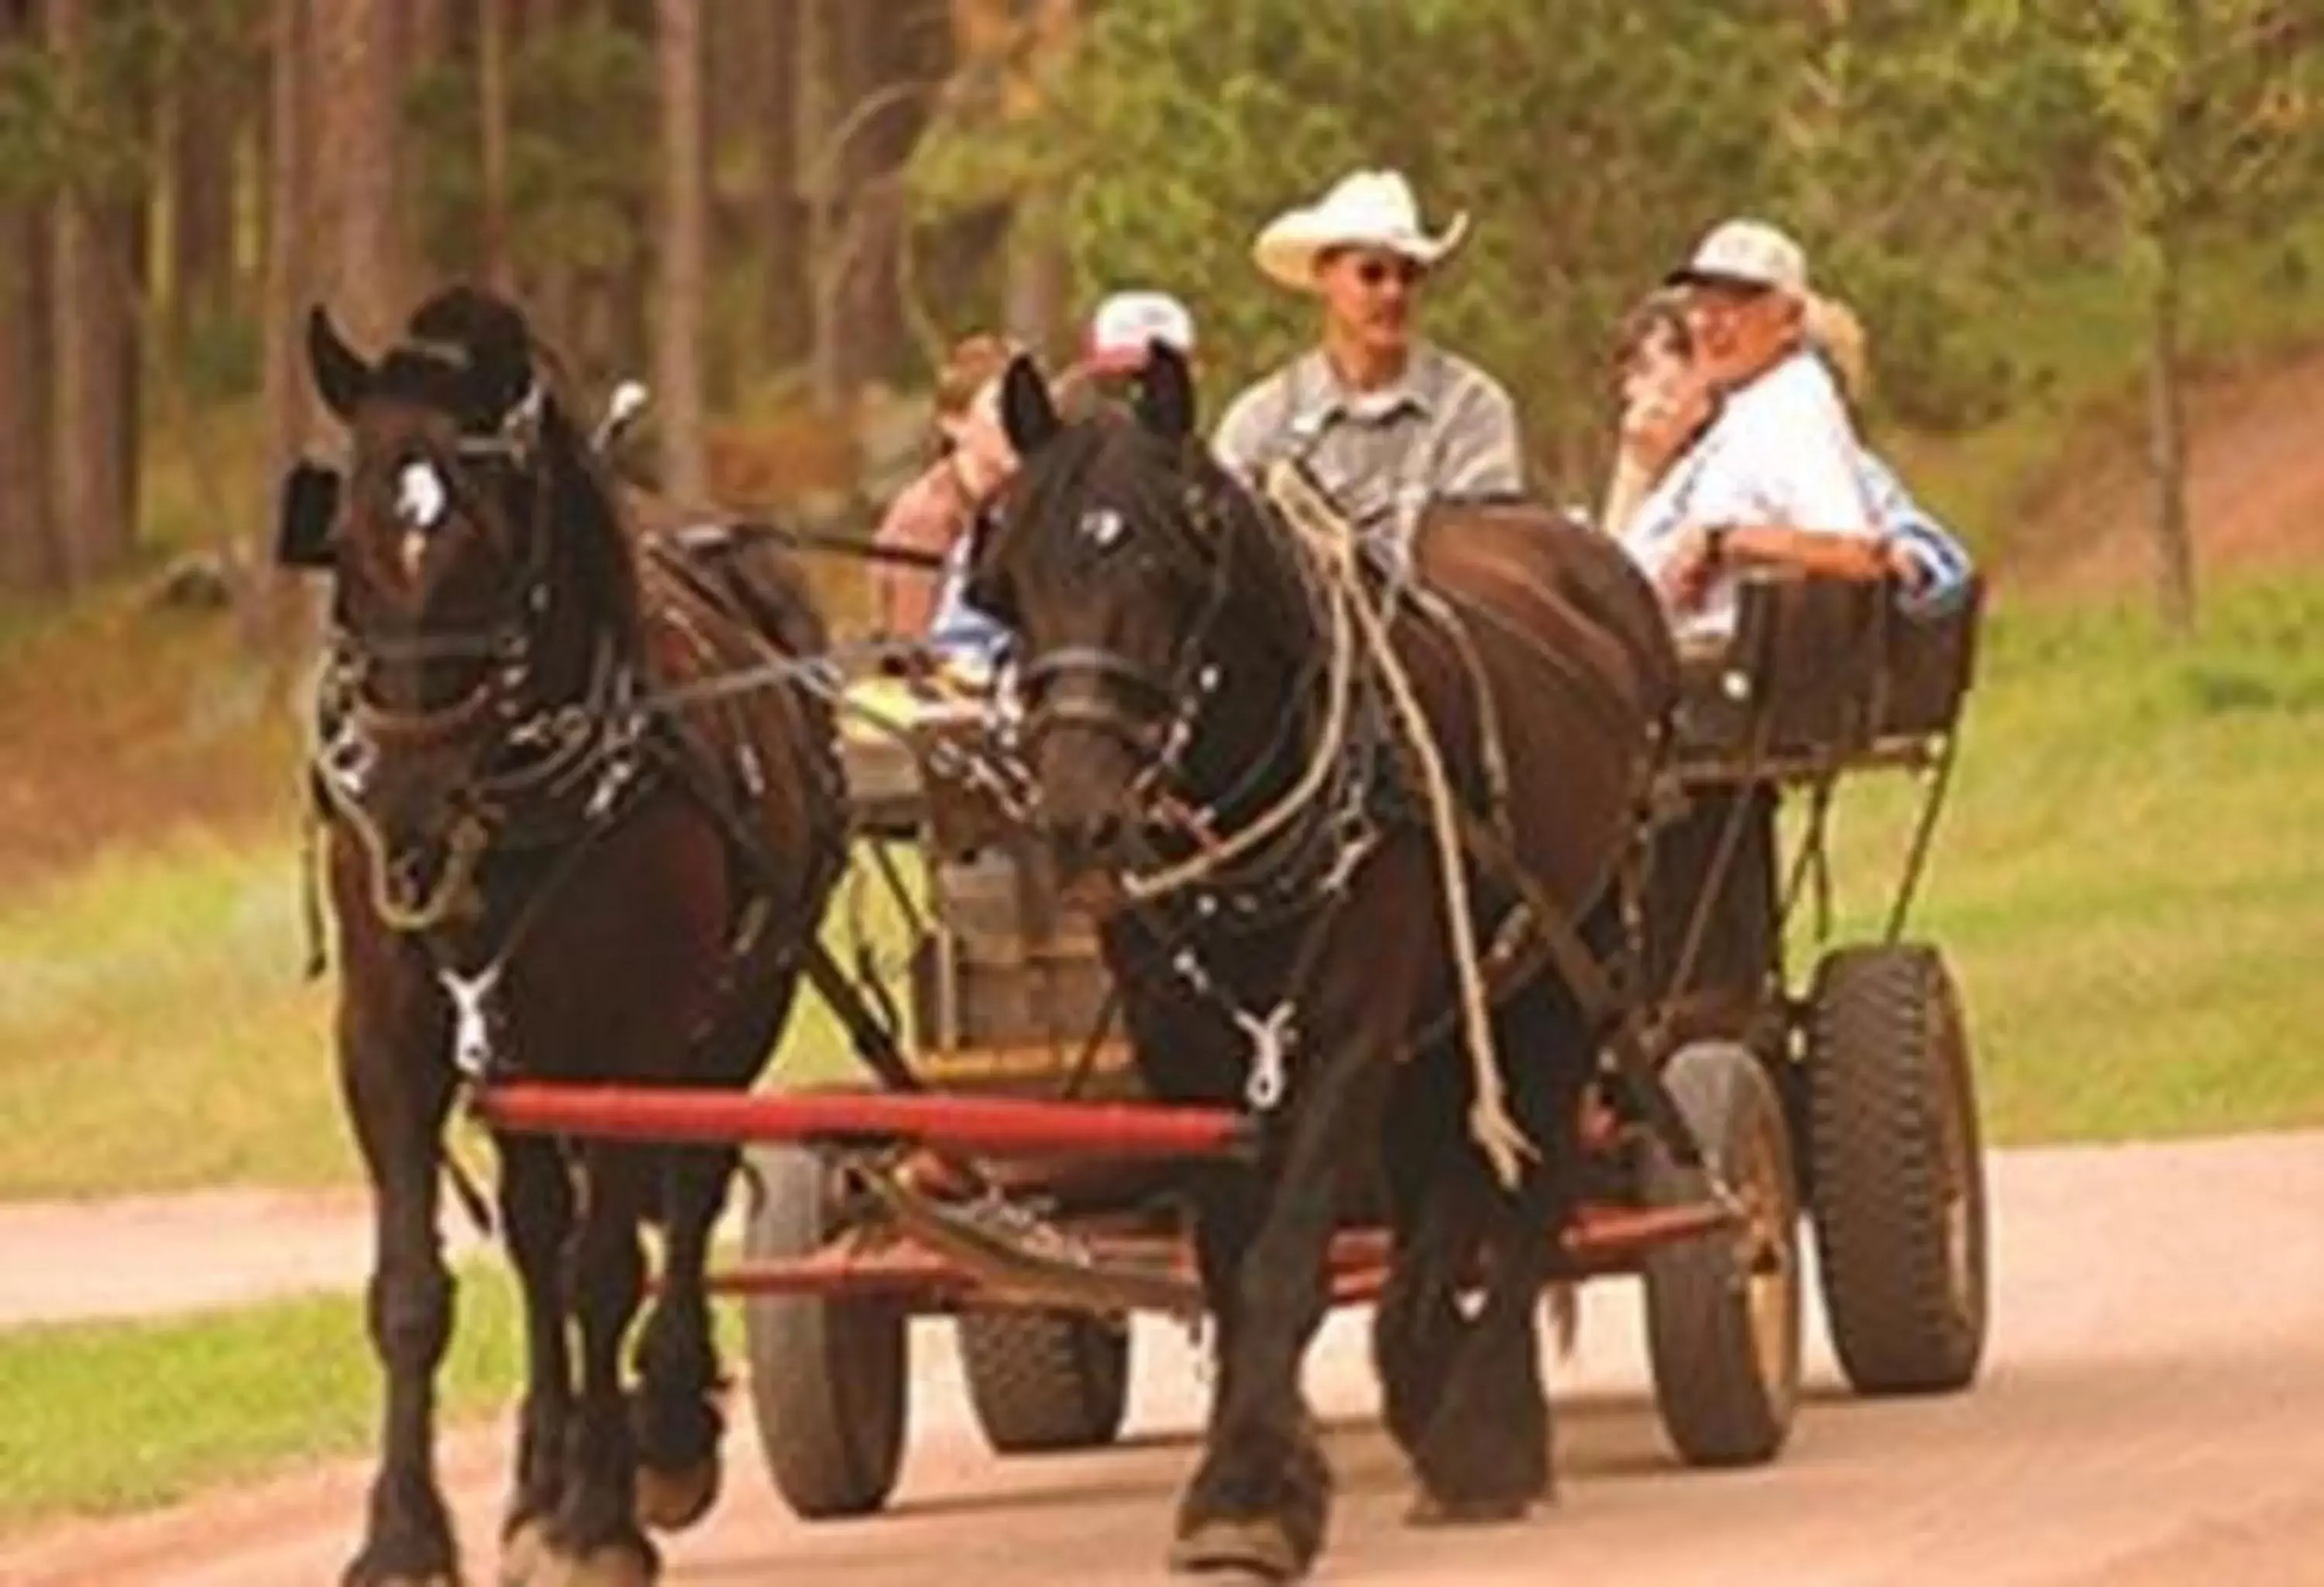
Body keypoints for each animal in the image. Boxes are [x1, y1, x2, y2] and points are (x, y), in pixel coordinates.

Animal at [282, 287, 846, 1587]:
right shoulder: (391, 1035)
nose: (404, 802)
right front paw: (404, 1535)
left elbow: (607, 1268)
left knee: (684, 1198)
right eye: (345, 546)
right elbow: (414, 1292)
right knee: (539, 1226)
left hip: (740, 1005)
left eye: (491, 546)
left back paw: (661, 1430)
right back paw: (538, 1477)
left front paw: (600, 1518)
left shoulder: (634, 1042)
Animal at [971, 348, 1683, 1580]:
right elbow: (1230, 1259)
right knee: (1443, 1190)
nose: (1076, 817)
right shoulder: (1191, 1052)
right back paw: (1431, 1378)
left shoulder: (1353, 1028)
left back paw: (1484, 1429)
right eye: (1008, 577)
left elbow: (1288, 1257)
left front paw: (1250, 1490)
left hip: (1567, 954)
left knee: (1527, 1181)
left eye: (1163, 562)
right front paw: (1259, 1466)